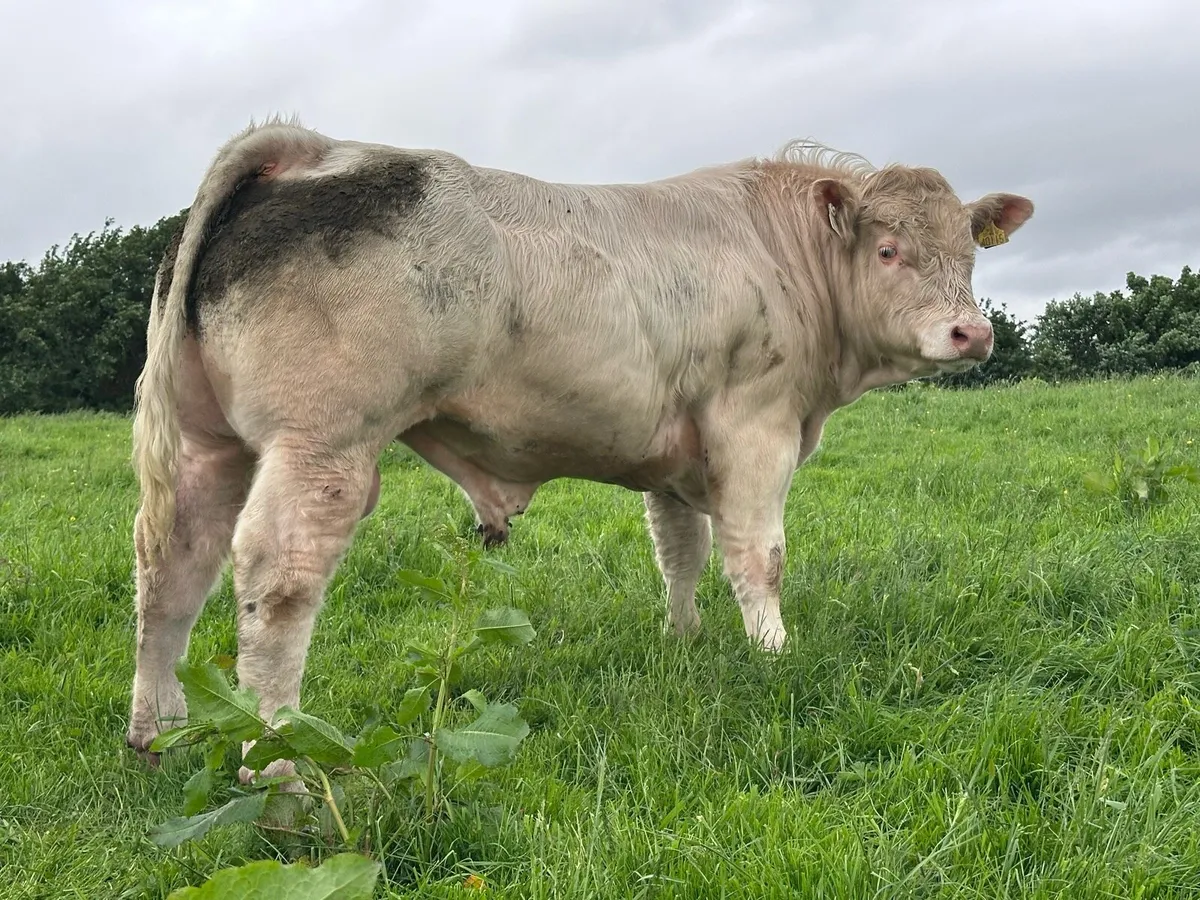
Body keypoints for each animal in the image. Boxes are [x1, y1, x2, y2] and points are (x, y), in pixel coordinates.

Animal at [125, 116, 1033, 777]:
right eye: (889, 249)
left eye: (967, 254)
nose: (973, 332)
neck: (785, 253)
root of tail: (312, 149)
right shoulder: (755, 424)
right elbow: (758, 554)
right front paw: (773, 651)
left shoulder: (676, 453)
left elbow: (681, 550)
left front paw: (683, 638)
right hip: (323, 445)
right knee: (276, 579)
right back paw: (276, 763)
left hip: (207, 445)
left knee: (173, 564)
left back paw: (157, 733)